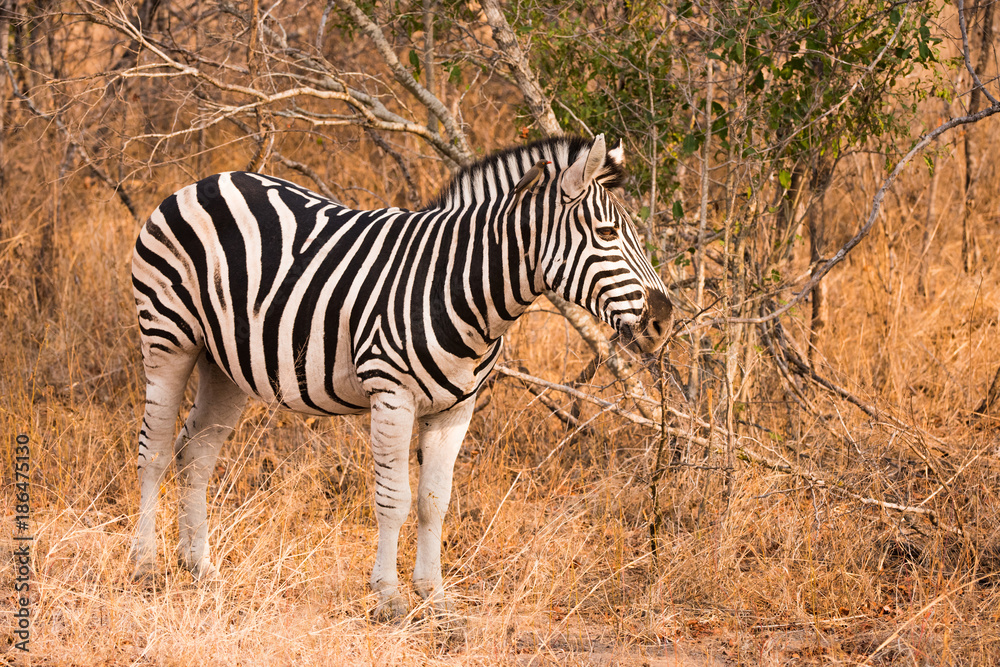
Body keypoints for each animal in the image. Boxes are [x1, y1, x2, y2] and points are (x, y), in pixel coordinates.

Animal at [130, 134, 673, 618]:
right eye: (607, 234)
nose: (664, 321)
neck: (457, 287)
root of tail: (207, 180)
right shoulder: (392, 394)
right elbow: (394, 500)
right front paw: (388, 597)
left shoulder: (457, 407)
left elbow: (435, 501)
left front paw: (433, 596)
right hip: (168, 337)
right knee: (154, 451)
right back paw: (145, 567)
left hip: (225, 363)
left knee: (195, 452)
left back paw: (199, 568)